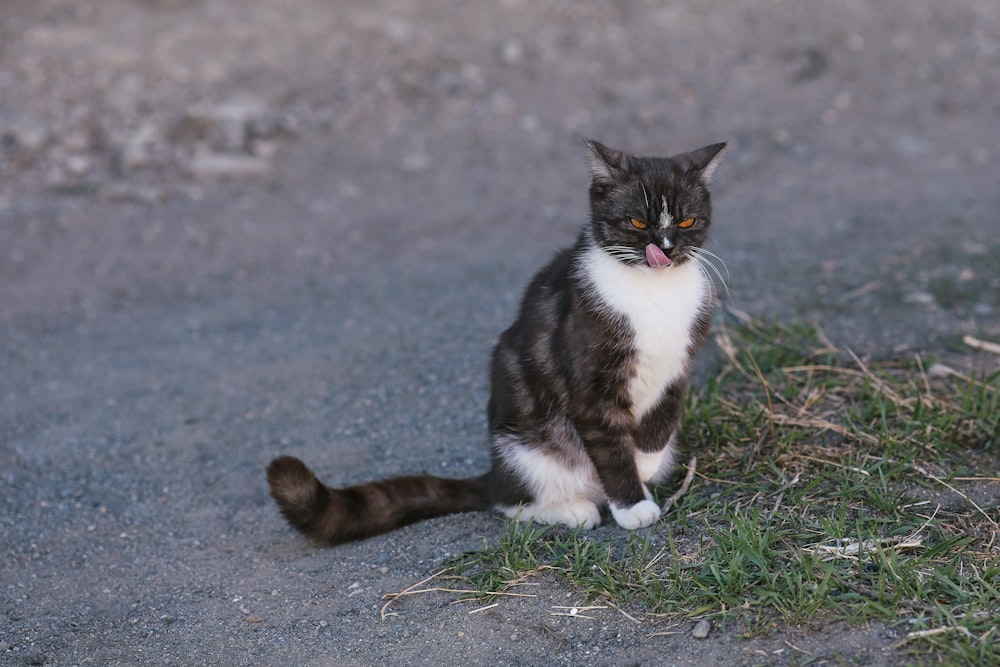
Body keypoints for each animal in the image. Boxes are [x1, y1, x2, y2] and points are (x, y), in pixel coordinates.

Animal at [268, 138, 728, 544]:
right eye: (636, 222)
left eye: (686, 221)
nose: (665, 249)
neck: (653, 295)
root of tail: (495, 474)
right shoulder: (588, 383)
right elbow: (610, 446)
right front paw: (634, 504)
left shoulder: (679, 362)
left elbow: (662, 420)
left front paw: (646, 466)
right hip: (525, 448)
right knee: (510, 504)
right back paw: (573, 510)